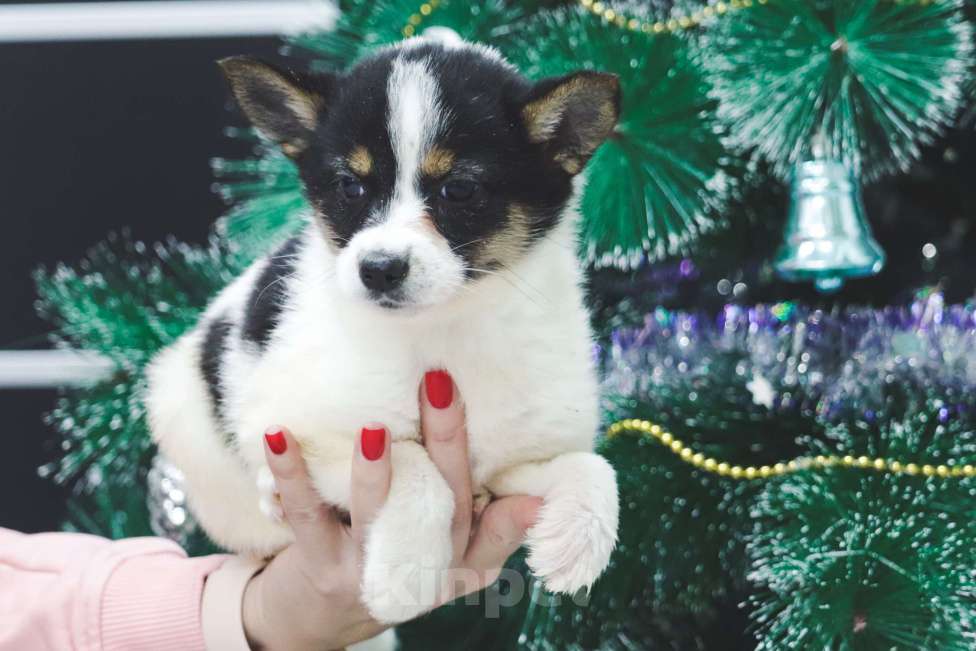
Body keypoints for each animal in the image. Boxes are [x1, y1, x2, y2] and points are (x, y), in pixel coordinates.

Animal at [147, 33, 616, 624]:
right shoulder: (289, 428)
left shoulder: (515, 458)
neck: (441, 327)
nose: (379, 268)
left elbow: (593, 465)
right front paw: (406, 574)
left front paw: (578, 539)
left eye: (460, 190)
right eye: (350, 185)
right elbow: (407, 458)